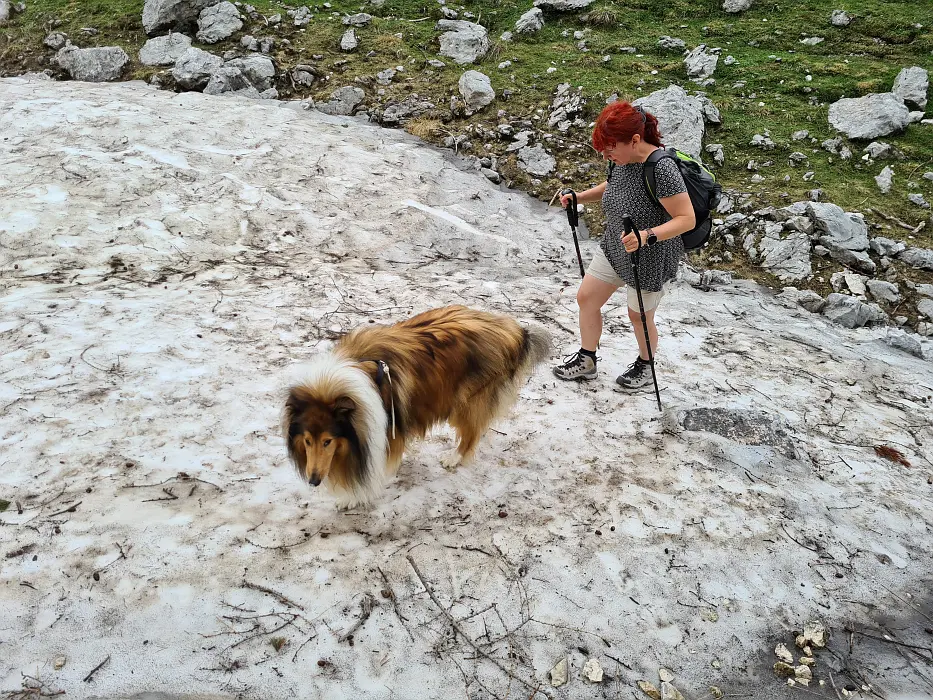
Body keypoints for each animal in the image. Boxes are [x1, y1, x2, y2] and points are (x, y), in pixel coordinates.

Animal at [280, 304, 548, 506]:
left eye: (328, 441)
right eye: (307, 441)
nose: (313, 481)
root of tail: (515, 330)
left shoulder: (384, 430)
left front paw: (352, 499)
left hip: (467, 402)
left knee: (471, 434)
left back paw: (453, 458)